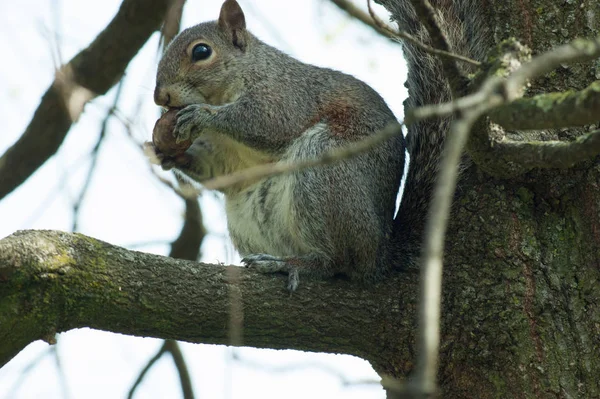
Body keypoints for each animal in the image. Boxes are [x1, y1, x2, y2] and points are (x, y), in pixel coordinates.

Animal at [145, 0, 422, 290]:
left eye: (201, 51)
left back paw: (292, 264)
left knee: (338, 262)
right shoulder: (227, 155)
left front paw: (202, 115)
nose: (160, 97)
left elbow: (269, 123)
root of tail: (379, 257)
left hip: (327, 170)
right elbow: (220, 170)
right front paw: (166, 154)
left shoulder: (287, 96)